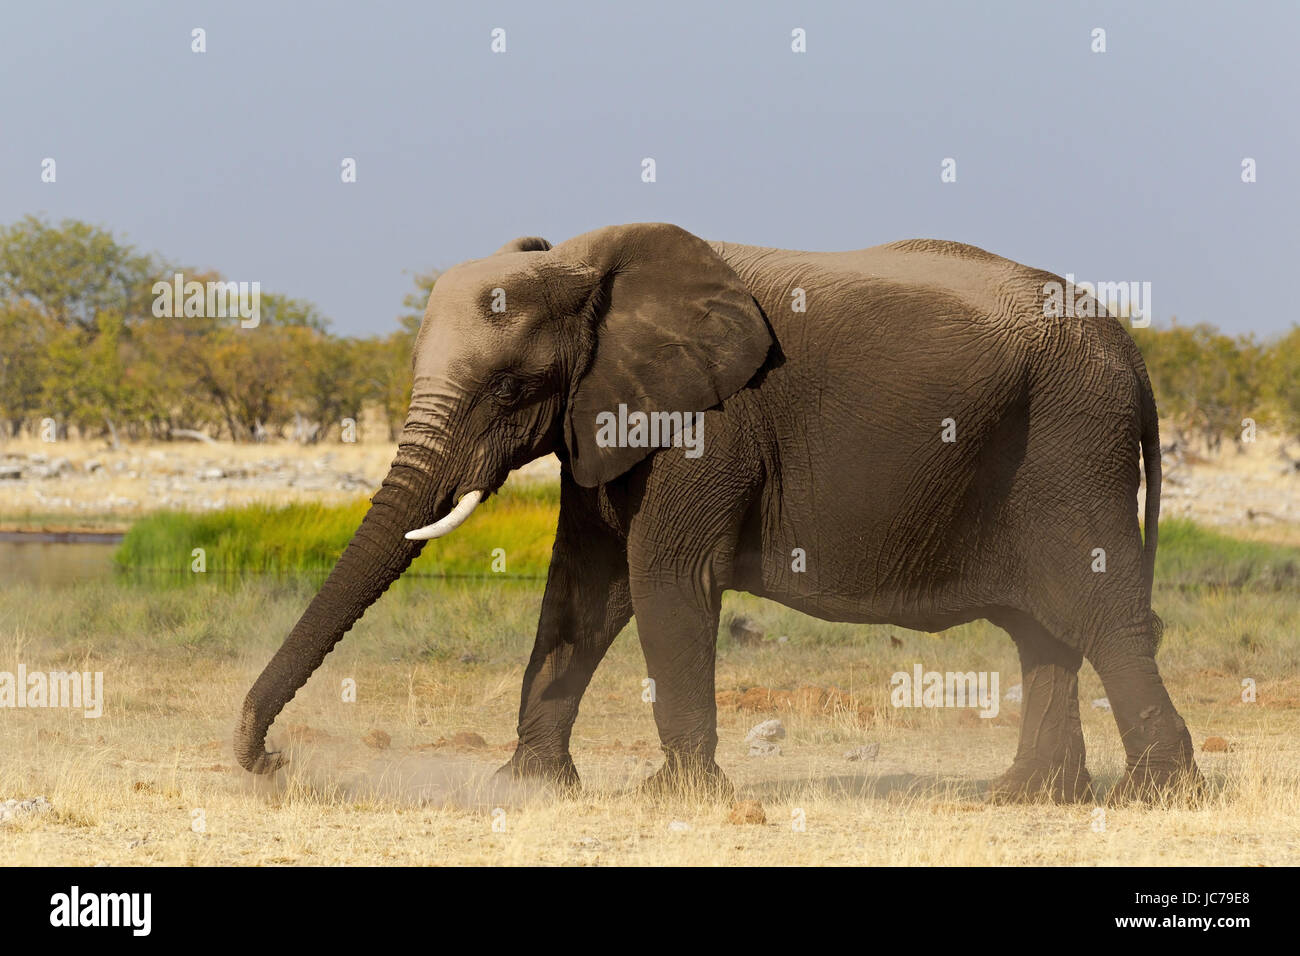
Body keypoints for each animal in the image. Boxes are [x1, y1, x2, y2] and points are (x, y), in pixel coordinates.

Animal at [236, 221, 1196, 806]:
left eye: (511, 388)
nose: (271, 762)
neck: (583, 260)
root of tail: (1132, 351)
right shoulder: (606, 418)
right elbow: (584, 588)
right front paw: (531, 787)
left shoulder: (707, 424)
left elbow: (664, 579)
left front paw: (680, 798)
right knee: (1044, 631)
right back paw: (1029, 796)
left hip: (1072, 445)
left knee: (1101, 614)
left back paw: (1153, 795)